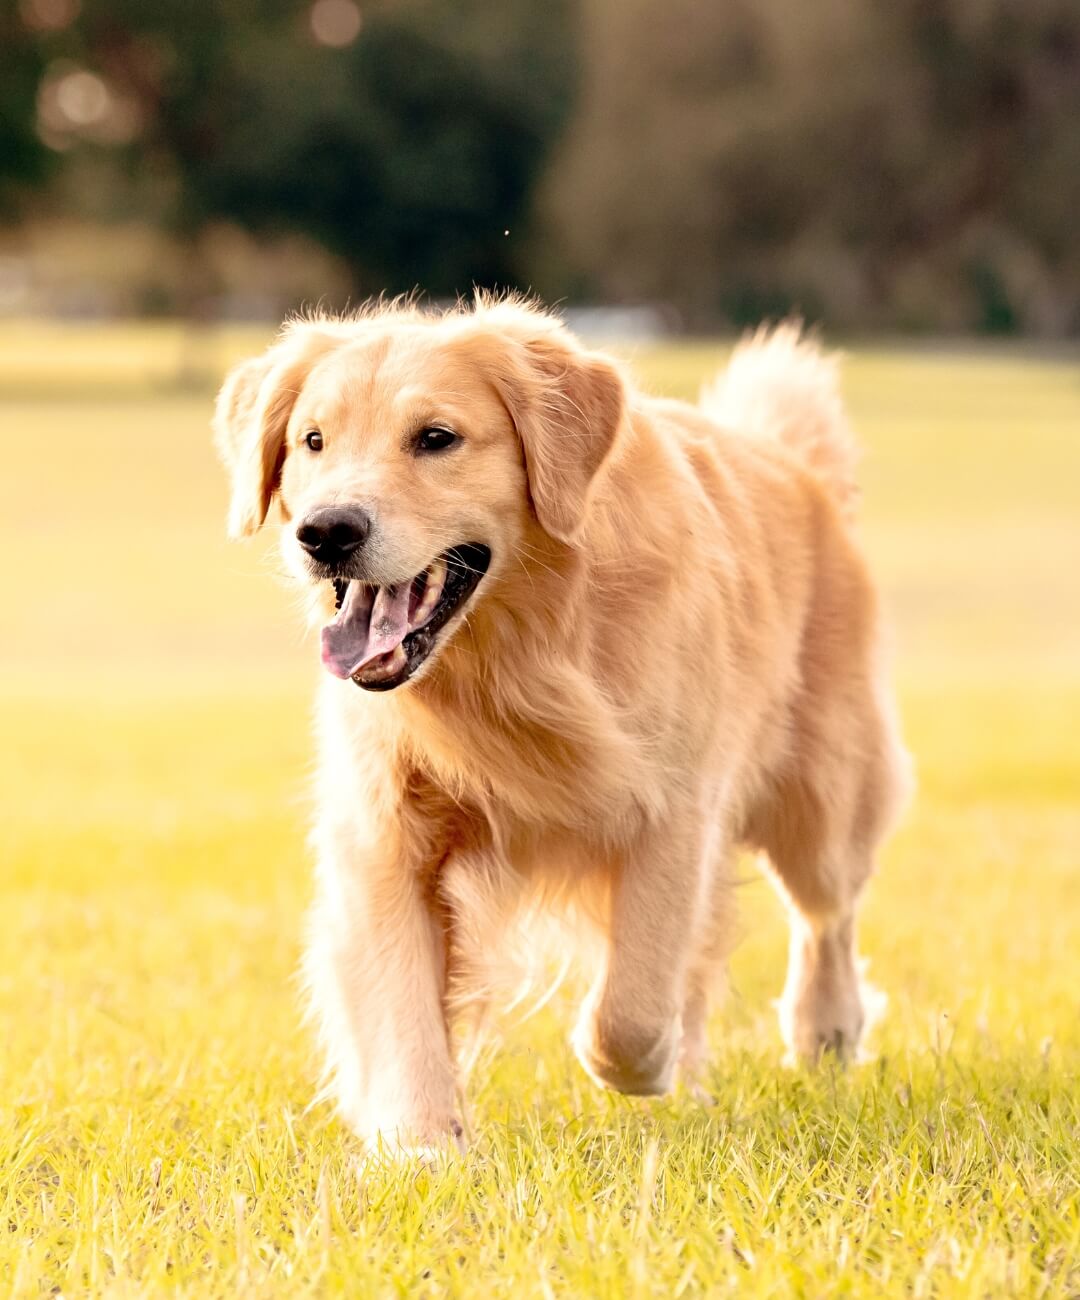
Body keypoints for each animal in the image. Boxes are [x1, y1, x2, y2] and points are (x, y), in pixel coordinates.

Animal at [215, 297, 909, 1159]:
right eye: (313, 441)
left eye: (435, 438)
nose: (326, 532)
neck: (517, 653)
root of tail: (793, 465)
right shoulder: (384, 835)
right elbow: (402, 1003)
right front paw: (421, 1146)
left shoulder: (676, 810)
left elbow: (632, 1011)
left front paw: (649, 1062)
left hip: (824, 800)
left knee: (826, 914)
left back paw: (825, 1029)